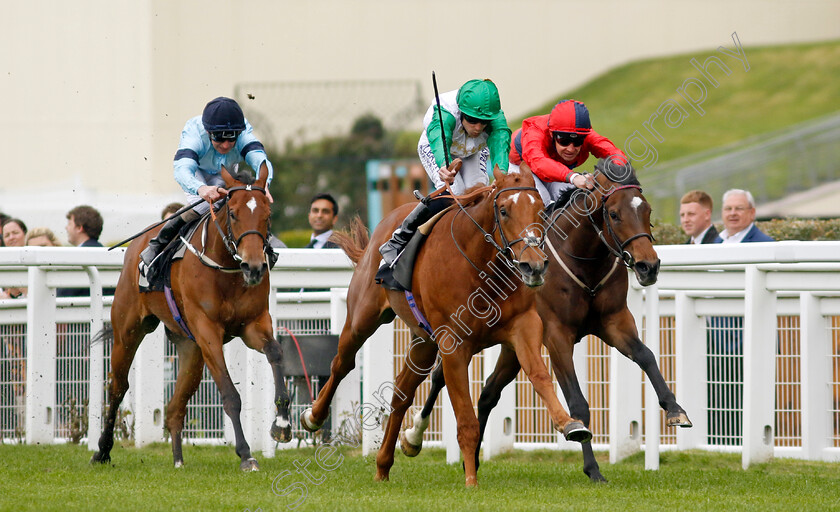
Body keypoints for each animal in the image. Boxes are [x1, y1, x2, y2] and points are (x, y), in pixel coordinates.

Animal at [91, 165, 292, 472]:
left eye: (267, 215)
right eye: (233, 213)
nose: (254, 267)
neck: (226, 269)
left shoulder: (253, 325)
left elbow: (276, 352)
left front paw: (282, 424)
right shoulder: (208, 331)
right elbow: (230, 395)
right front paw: (246, 454)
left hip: (190, 348)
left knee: (175, 408)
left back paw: (178, 460)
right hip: (129, 330)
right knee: (118, 387)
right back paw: (102, 451)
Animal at [302, 167, 592, 488]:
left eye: (540, 210)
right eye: (504, 210)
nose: (534, 266)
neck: (481, 266)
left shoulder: (523, 325)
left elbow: (539, 375)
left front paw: (570, 424)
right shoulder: (454, 346)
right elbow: (466, 418)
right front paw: (471, 481)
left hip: (423, 342)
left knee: (401, 392)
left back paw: (383, 465)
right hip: (361, 319)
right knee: (342, 363)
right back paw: (313, 416)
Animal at [404, 159, 692, 480]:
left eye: (648, 211)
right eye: (615, 214)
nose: (648, 266)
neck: (583, 261)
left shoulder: (615, 322)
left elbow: (647, 356)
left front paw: (675, 410)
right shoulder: (556, 335)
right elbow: (578, 402)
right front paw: (593, 469)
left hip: (513, 347)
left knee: (488, 392)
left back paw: (473, 459)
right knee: (442, 377)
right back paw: (414, 437)